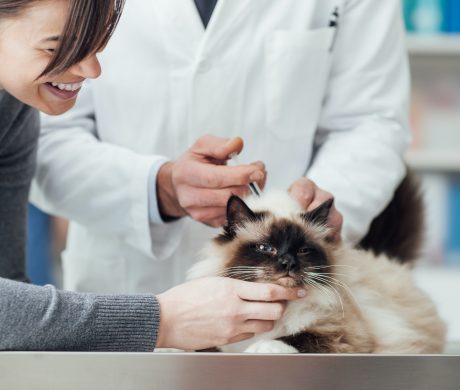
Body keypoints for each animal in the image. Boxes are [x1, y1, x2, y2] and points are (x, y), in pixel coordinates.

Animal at [186, 190, 446, 354]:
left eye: (303, 250)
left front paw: (261, 347)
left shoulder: (345, 337)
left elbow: (297, 337)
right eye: (266, 248)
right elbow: (200, 346)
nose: (288, 263)